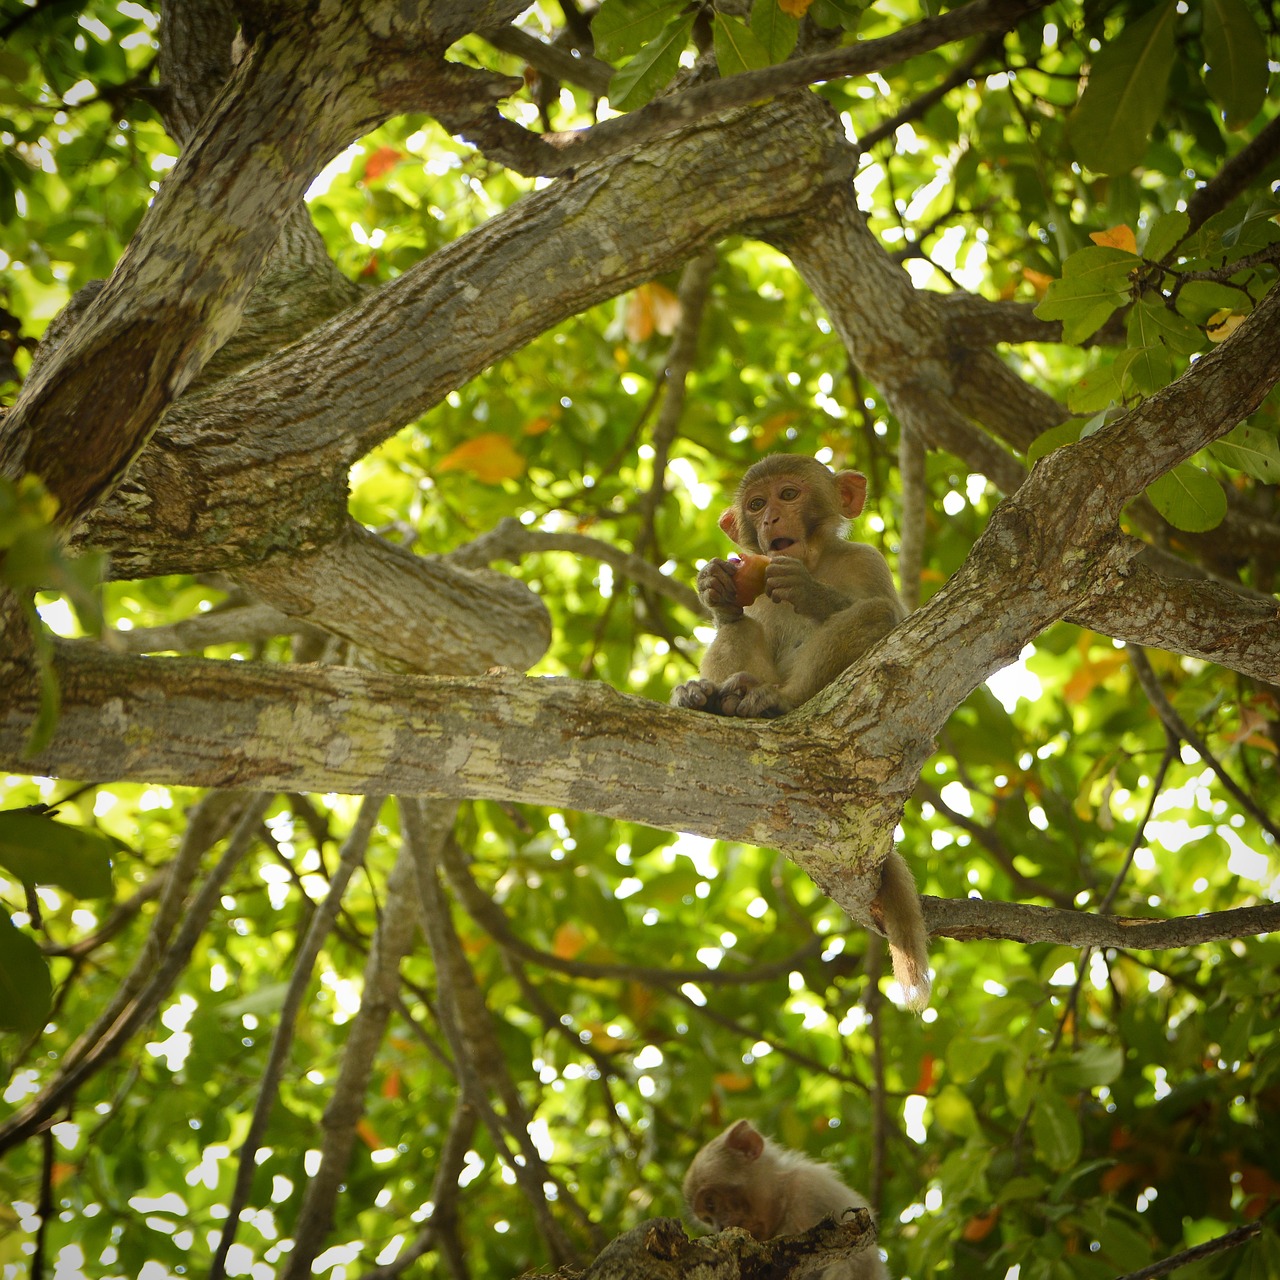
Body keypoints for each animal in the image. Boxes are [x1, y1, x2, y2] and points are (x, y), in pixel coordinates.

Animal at [671, 454, 930, 1011]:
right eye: (755, 504)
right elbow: (737, 622)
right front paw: (716, 591)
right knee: (739, 638)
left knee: (874, 614)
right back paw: (714, 698)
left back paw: (777, 703)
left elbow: (890, 616)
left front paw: (808, 593)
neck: (812, 558)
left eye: (788, 495)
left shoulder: (866, 561)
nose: (770, 520)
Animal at [683, 1119, 889, 1280]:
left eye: (711, 1203)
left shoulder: (808, 1192)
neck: (782, 1200)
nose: (719, 1226)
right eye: (708, 1219)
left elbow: (855, 1260)